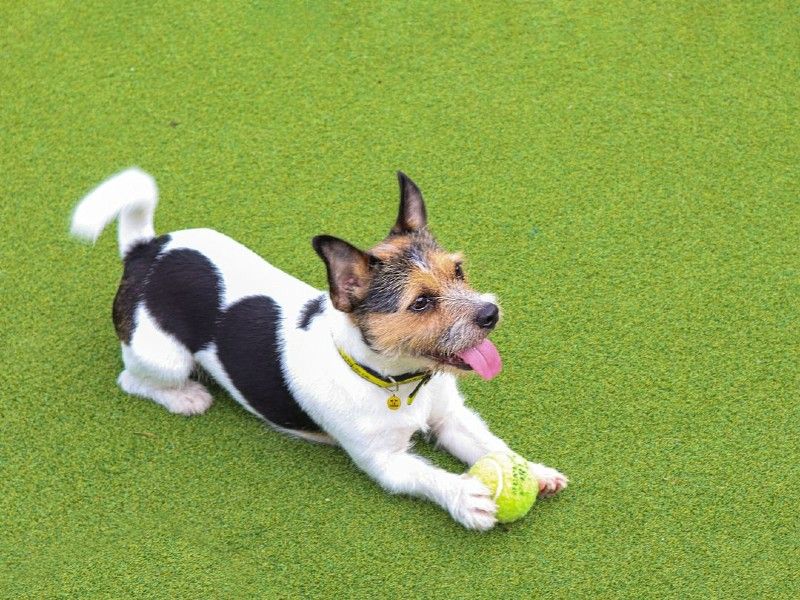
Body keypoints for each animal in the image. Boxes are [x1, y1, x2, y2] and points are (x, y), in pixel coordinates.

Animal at [70, 169, 568, 528]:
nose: (490, 313)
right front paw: (465, 496)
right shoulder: (385, 463)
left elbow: (488, 444)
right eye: (421, 302)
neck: (397, 382)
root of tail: (145, 249)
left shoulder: (451, 418)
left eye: (459, 271)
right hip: (163, 358)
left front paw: (529, 468)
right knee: (131, 379)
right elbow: (427, 475)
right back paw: (185, 397)